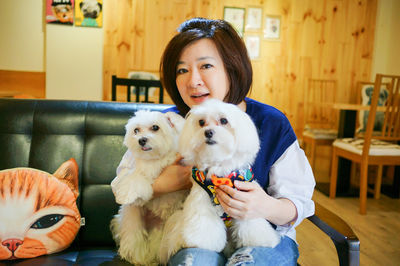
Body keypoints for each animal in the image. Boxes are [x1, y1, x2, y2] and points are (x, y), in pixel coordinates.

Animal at [111, 109, 188, 264]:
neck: (156, 159)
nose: (141, 140)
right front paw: (126, 194)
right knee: (134, 239)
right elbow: (133, 178)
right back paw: (138, 258)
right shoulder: (139, 170)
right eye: (136, 130)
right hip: (133, 218)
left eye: (155, 127)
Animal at [160, 98, 282, 262]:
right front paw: (201, 243)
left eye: (224, 120)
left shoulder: (246, 201)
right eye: (201, 122)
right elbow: (204, 225)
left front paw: (261, 240)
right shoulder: (201, 202)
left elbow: (252, 223)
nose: (208, 132)